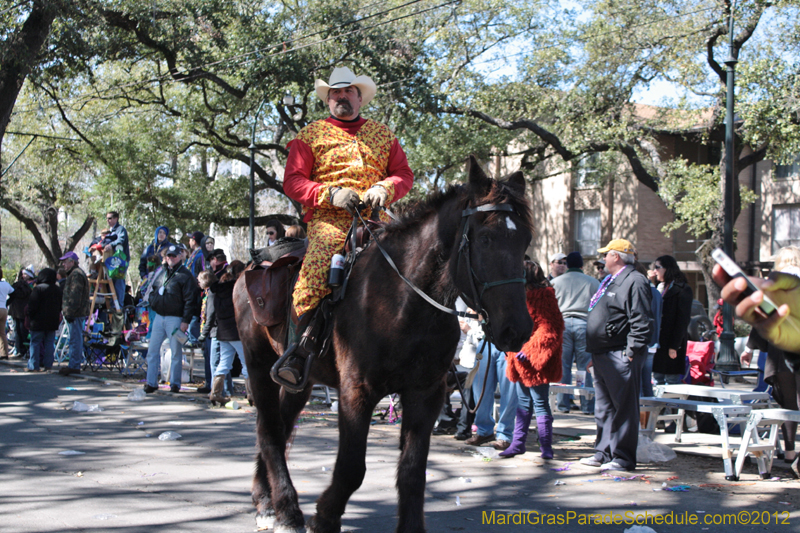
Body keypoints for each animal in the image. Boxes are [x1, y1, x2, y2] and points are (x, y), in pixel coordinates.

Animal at [234, 156, 536, 528]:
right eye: (487, 238)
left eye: (525, 240)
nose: (517, 329)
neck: (404, 301)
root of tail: (252, 266)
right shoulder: (356, 392)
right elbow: (352, 469)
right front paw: (324, 517)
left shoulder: (426, 394)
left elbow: (412, 472)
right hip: (258, 362)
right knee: (269, 428)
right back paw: (285, 508)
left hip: (298, 380)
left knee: (281, 423)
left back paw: (268, 499)